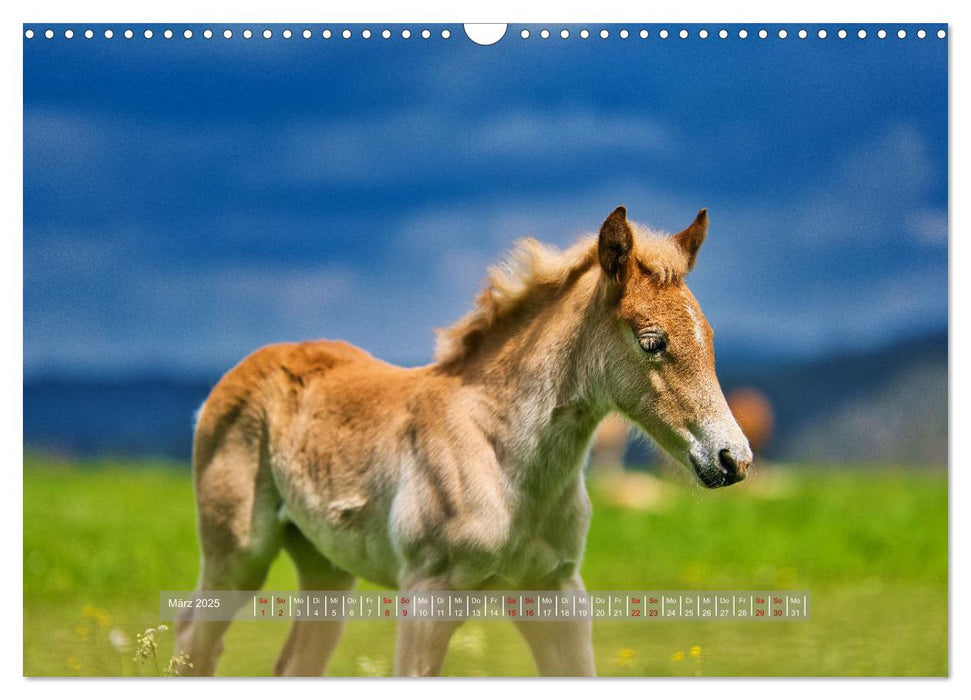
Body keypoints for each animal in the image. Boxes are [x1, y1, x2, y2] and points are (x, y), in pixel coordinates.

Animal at [175, 205, 752, 676]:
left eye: (708, 336)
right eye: (652, 341)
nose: (734, 459)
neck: (501, 459)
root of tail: (245, 368)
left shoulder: (555, 594)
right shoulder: (427, 598)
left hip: (327, 567)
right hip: (237, 554)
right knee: (193, 640)